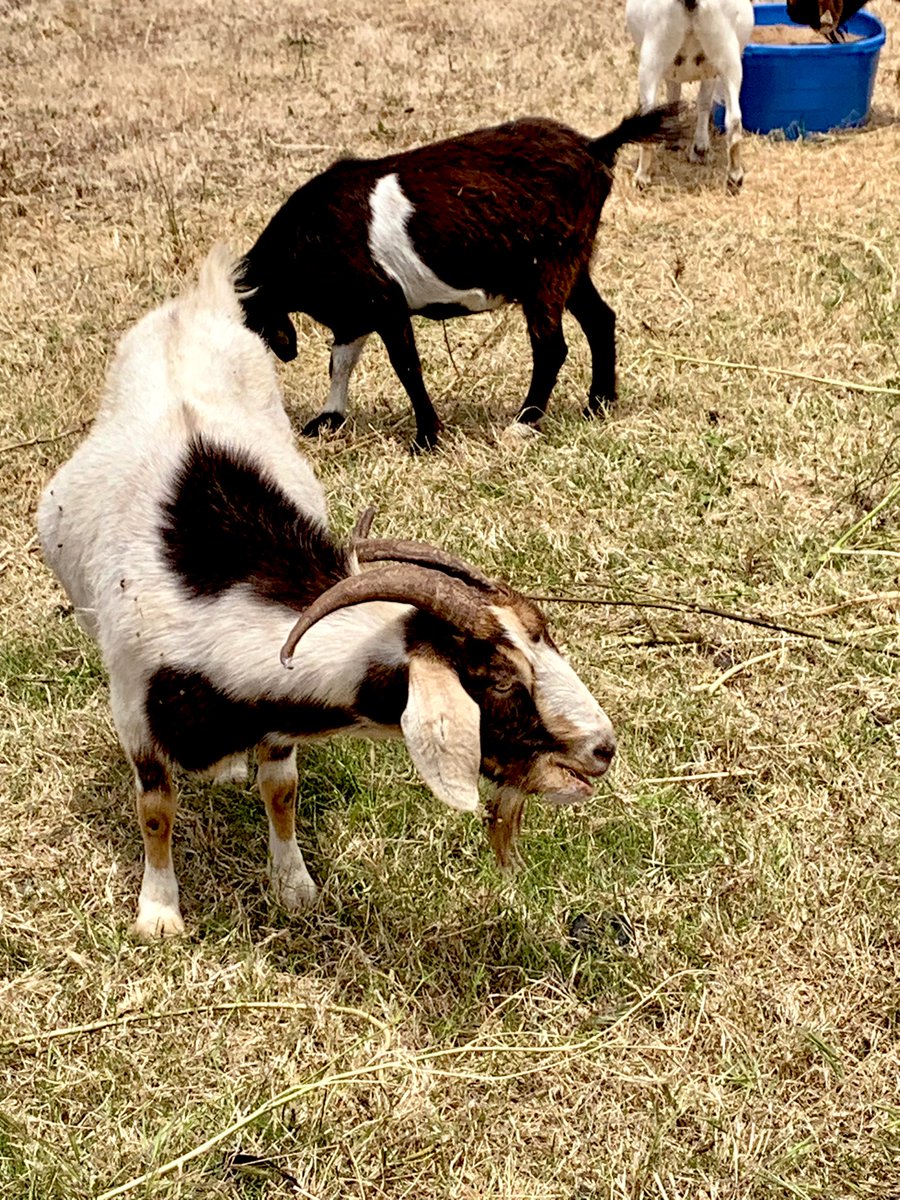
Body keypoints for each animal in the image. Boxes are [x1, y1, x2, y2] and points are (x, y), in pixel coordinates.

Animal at [35, 253, 614, 940]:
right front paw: (159, 913)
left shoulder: (276, 712)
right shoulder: (134, 709)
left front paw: (293, 886)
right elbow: (155, 807)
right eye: (497, 680)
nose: (603, 747)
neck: (215, 579)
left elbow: (281, 790)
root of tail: (197, 305)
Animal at [240, 105, 681, 451]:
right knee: (600, 319)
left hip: (549, 266)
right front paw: (328, 419)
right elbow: (341, 361)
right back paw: (598, 403)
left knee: (551, 347)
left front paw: (426, 439)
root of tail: (594, 146)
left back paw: (524, 423)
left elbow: (406, 367)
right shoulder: (354, 312)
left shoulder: (384, 302)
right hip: (573, 260)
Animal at [628, 0, 753, 190]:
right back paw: (734, 177)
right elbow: (702, 101)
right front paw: (700, 148)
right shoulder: (710, 71)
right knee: (734, 119)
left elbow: (677, 95)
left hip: (653, 53)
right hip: (728, 56)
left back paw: (642, 177)